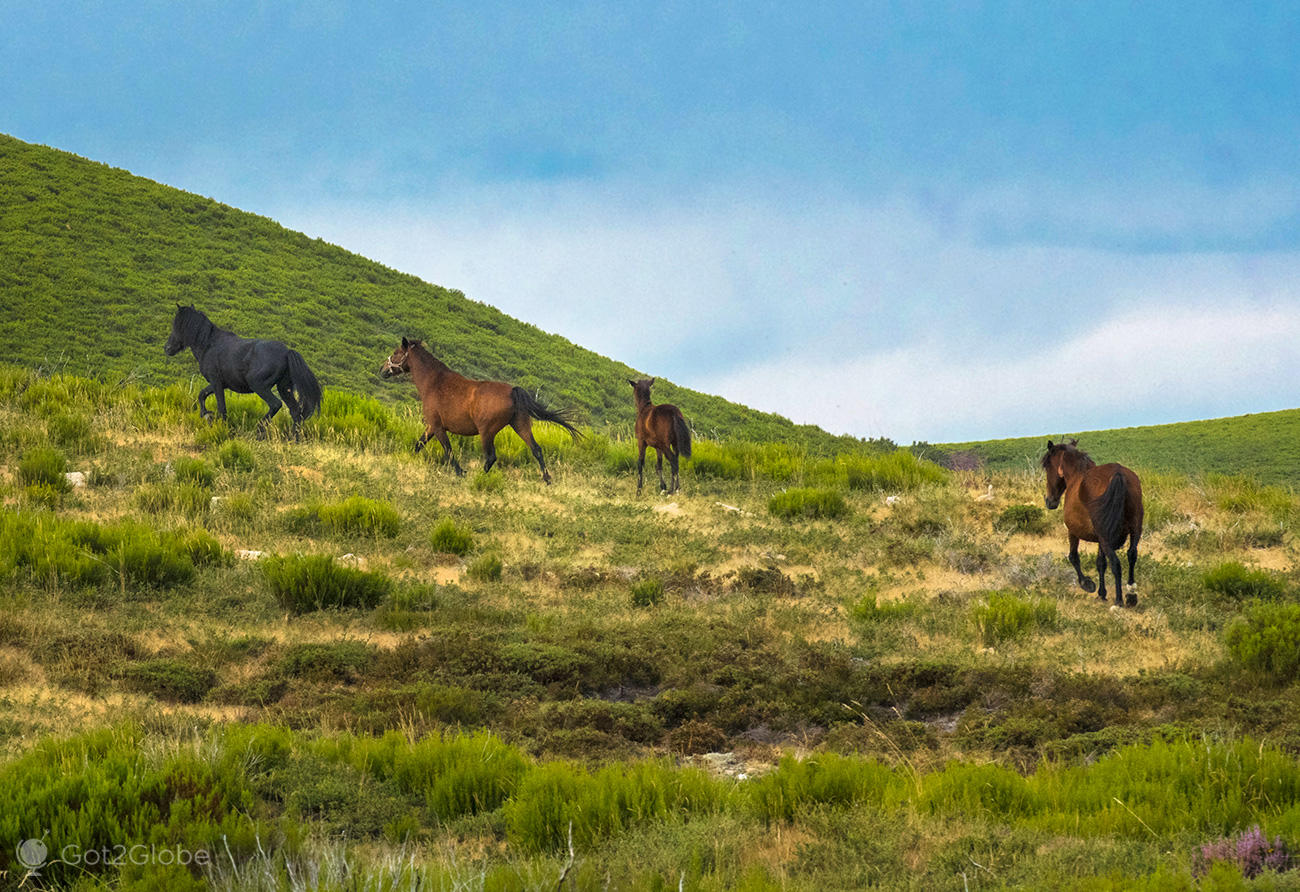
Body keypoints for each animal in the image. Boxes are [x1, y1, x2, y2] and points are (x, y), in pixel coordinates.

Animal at [165, 304, 322, 436]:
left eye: (177, 325)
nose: (167, 348)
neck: (209, 345)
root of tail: (287, 352)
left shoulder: (216, 382)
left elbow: (221, 408)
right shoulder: (220, 383)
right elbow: (202, 394)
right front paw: (206, 415)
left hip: (259, 385)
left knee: (276, 404)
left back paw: (259, 429)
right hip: (284, 388)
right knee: (296, 413)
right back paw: (293, 438)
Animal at [377, 338, 579, 486]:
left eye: (396, 353)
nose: (382, 370)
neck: (434, 383)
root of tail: (513, 391)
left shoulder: (438, 427)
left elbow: (448, 451)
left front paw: (460, 473)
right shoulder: (431, 427)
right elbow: (419, 444)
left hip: (487, 431)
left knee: (491, 457)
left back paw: (478, 477)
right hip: (520, 425)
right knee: (536, 449)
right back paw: (547, 479)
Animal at [1040, 439, 1144, 608]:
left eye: (1047, 466)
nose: (1050, 502)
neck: (1076, 477)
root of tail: (1118, 473)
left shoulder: (1073, 531)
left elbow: (1073, 557)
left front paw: (1087, 584)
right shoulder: (1100, 539)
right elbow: (1100, 563)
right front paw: (1102, 593)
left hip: (1106, 537)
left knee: (1116, 563)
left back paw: (1119, 601)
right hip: (1135, 529)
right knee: (1132, 555)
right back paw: (1131, 594)